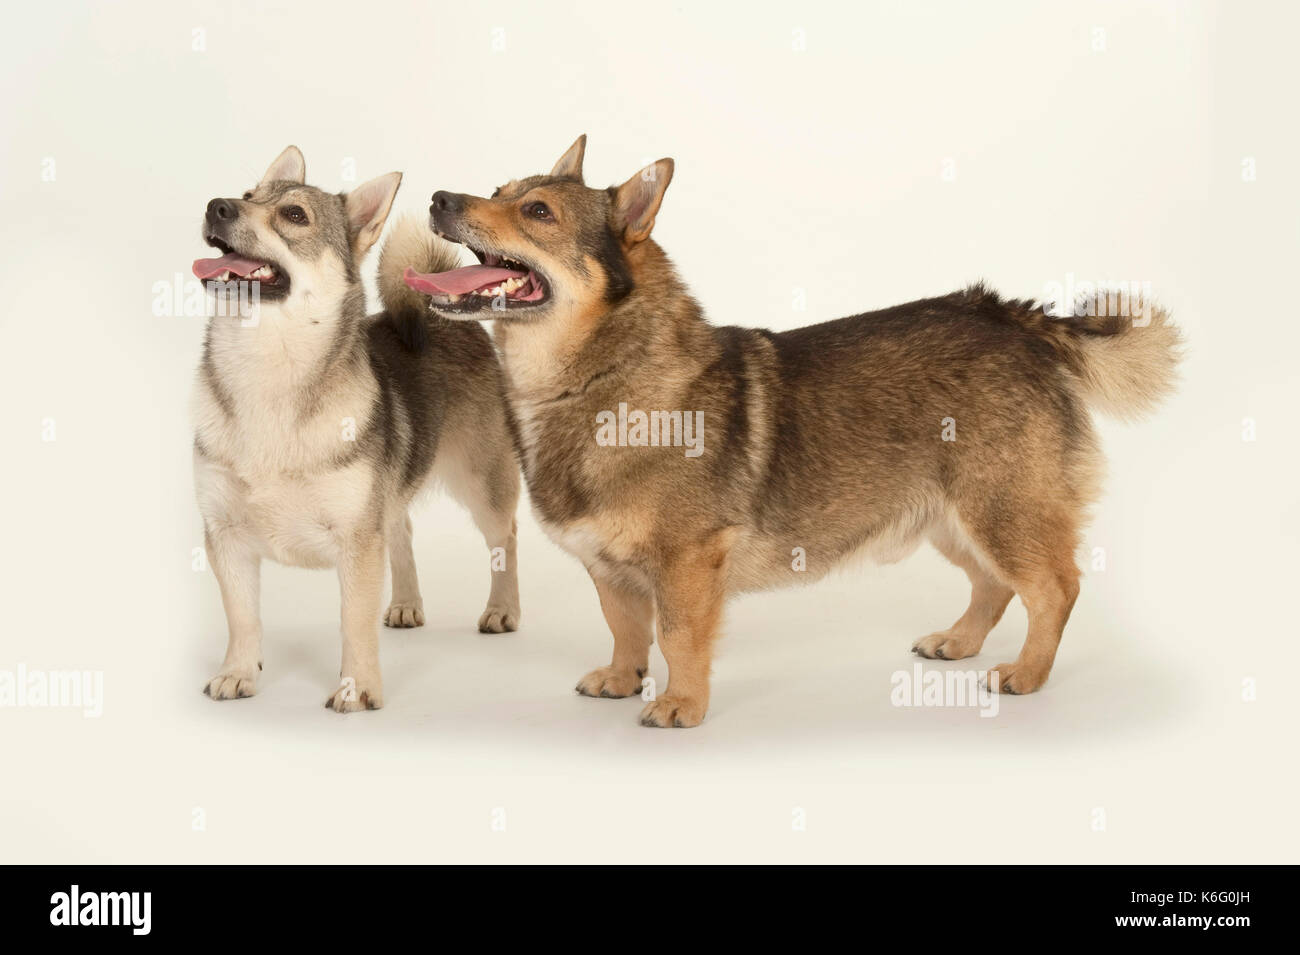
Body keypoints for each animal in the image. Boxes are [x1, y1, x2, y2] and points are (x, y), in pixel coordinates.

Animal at [192, 147, 517, 712]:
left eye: (294, 215)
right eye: (248, 195)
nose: (218, 206)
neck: (266, 365)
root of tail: (441, 315)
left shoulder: (356, 541)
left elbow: (353, 622)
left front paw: (357, 686)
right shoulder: (225, 536)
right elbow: (243, 618)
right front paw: (238, 672)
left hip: (483, 483)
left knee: (506, 539)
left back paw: (503, 609)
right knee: (402, 532)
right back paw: (407, 603)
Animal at [400, 134, 1185, 727]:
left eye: (537, 211)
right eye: (497, 189)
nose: (439, 198)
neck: (597, 377)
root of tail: (1015, 317)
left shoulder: (689, 563)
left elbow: (675, 636)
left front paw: (682, 705)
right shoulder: (609, 567)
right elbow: (626, 628)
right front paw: (624, 681)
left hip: (1001, 510)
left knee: (1054, 587)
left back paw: (1027, 672)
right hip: (950, 517)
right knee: (994, 586)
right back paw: (959, 643)